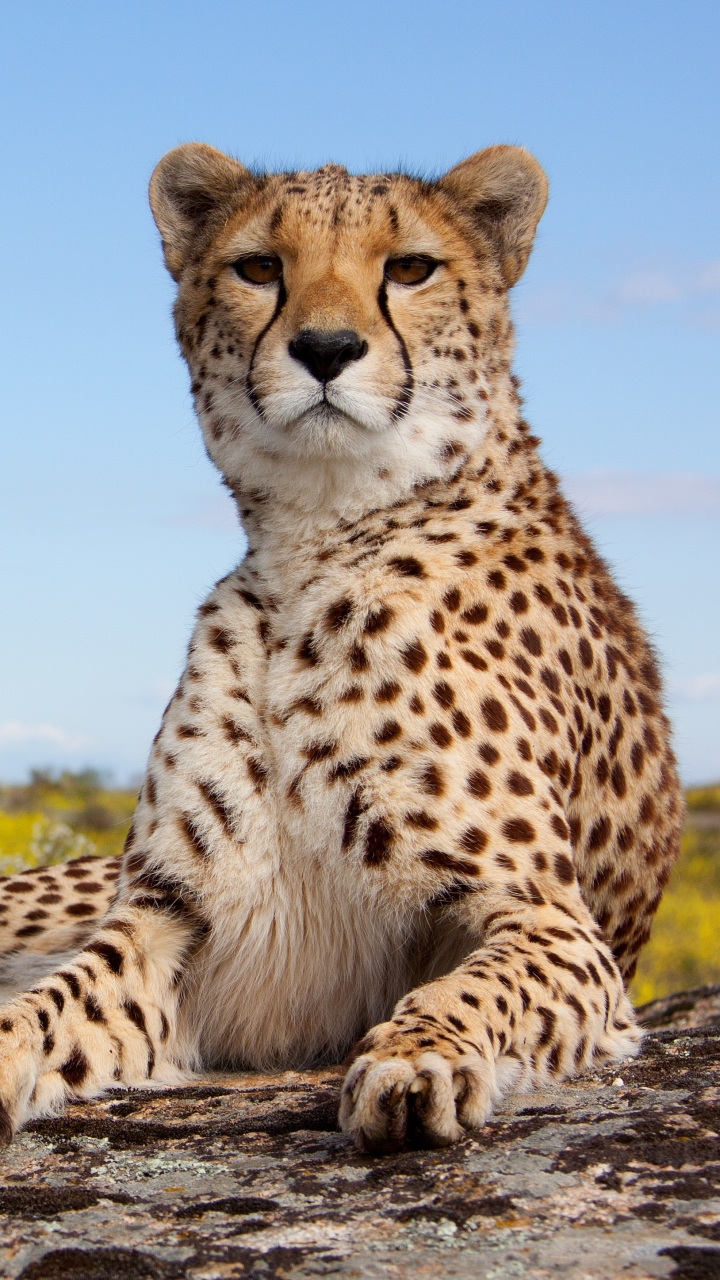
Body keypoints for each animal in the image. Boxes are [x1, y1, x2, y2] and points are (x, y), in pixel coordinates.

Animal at [0, 145, 676, 1157]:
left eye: (410, 268)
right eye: (258, 268)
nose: (324, 349)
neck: (315, 543)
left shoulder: (552, 924)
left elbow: (474, 987)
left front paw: (418, 1055)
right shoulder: (164, 922)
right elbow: (42, 1007)